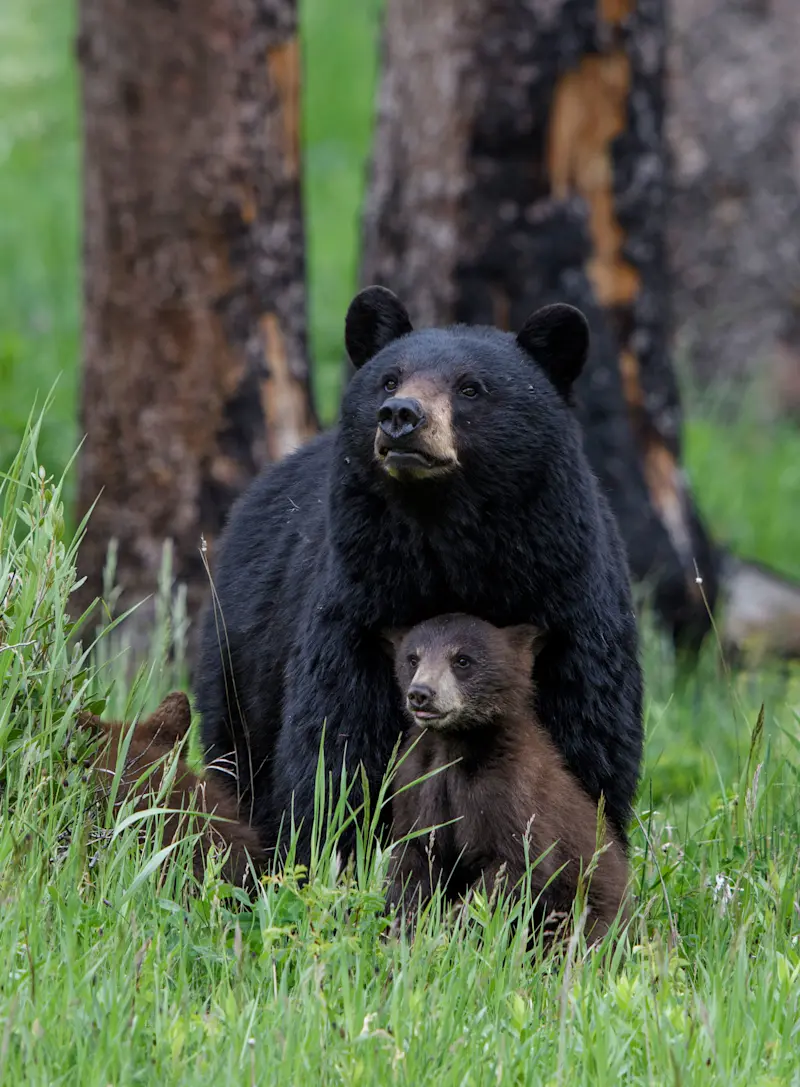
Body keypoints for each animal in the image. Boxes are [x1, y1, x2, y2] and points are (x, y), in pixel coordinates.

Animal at [195, 286, 643, 863]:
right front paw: (333, 851)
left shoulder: (566, 601)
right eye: (390, 378)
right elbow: (335, 743)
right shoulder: (358, 607)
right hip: (239, 660)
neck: (448, 544)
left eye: (471, 387)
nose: (400, 415)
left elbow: (587, 736)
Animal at [384, 614, 630, 945]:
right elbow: (413, 854)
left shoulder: (512, 789)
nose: (421, 693)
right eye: (412, 658)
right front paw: (404, 927)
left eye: (462, 660)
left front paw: (451, 931)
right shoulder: (416, 783)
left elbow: (517, 865)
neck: (455, 747)